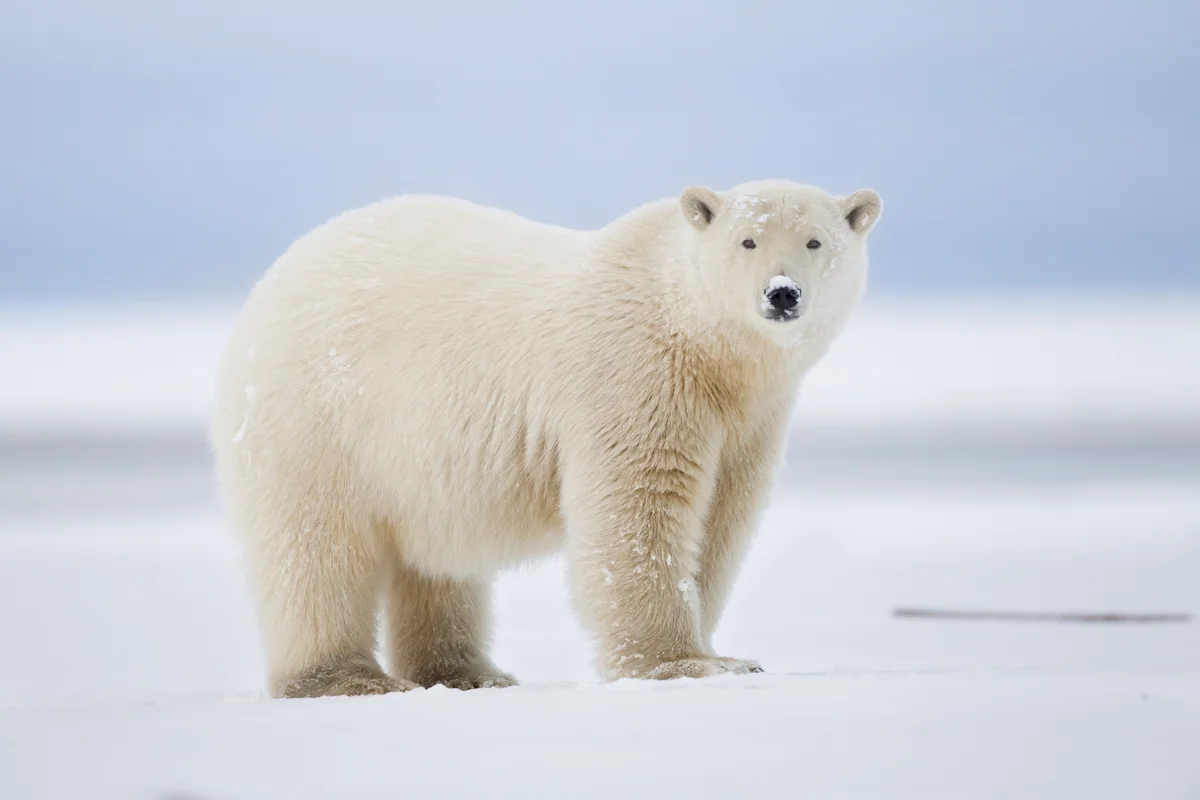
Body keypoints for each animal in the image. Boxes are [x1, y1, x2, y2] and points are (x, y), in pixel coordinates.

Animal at [211, 179, 881, 698]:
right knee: (315, 550)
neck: (702, 346)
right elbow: (639, 514)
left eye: (815, 241)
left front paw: (722, 653)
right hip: (317, 418)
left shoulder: (750, 420)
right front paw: (681, 664)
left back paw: (469, 672)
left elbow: (722, 520)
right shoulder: (635, 376)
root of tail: (268, 286)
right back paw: (346, 678)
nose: (782, 293)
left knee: (434, 563)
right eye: (748, 240)